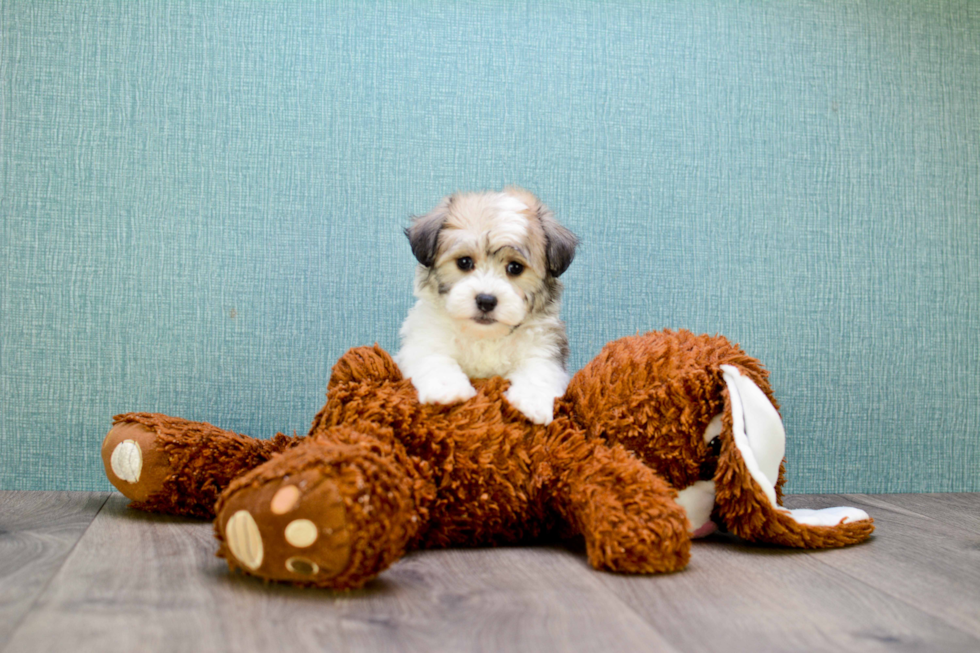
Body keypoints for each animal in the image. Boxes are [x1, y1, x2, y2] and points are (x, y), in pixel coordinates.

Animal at [396, 187, 580, 422]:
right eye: (464, 262)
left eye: (515, 268)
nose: (486, 300)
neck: (485, 337)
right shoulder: (424, 340)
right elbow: (434, 359)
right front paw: (447, 389)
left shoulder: (545, 349)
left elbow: (539, 372)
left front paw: (531, 403)